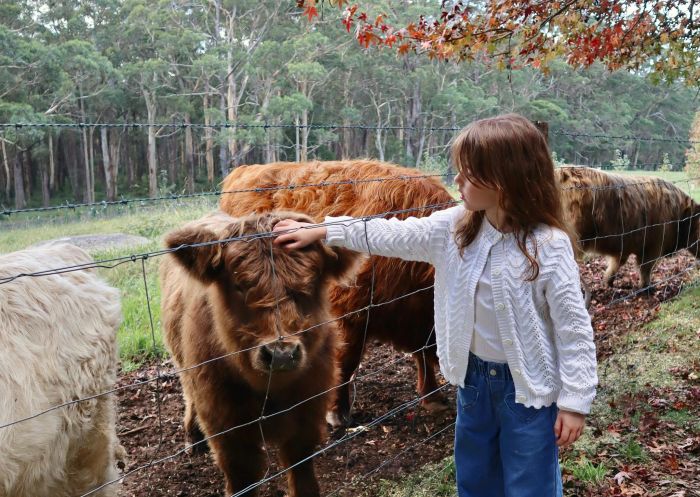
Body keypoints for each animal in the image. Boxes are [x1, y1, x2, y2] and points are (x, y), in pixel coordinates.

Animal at [160, 211, 360, 497]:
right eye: (238, 285)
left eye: (311, 283)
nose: (281, 354)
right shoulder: (226, 426)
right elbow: (242, 479)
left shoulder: (308, 411)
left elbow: (301, 469)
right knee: (189, 394)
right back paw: (193, 437)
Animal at [219, 160, 456, 426]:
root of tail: (244, 170)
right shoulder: (347, 313)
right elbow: (346, 361)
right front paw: (337, 413)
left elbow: (422, 353)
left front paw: (433, 398)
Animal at [557, 166, 700, 290]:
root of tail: (563, 172)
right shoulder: (653, 247)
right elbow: (646, 268)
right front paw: (646, 287)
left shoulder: (623, 247)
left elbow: (616, 265)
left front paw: (608, 282)